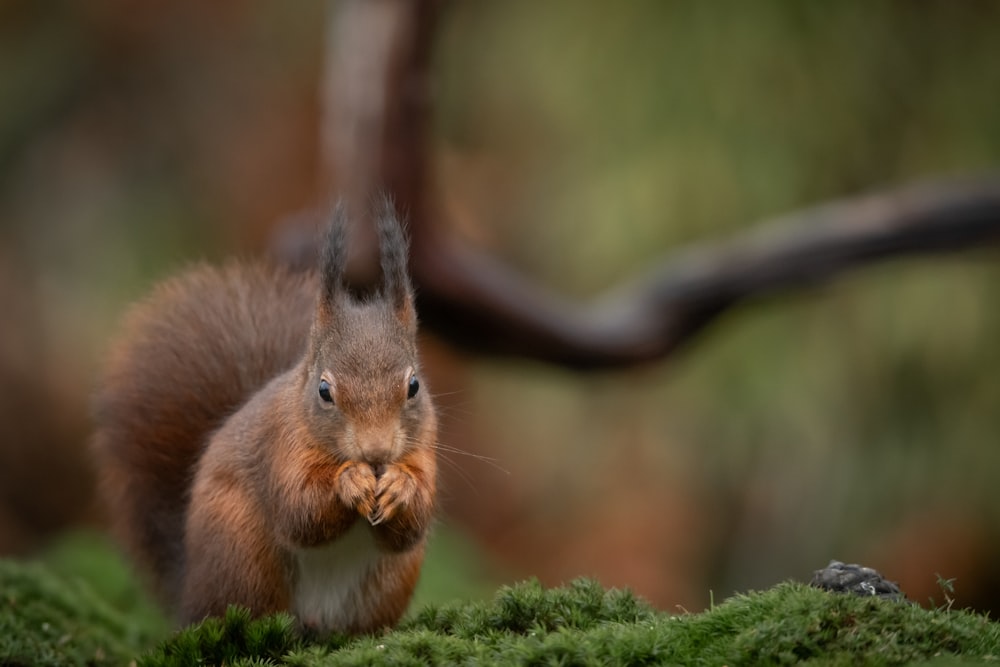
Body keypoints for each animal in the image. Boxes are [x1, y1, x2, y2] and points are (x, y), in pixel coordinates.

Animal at [92, 200, 436, 636]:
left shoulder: (427, 443)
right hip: (241, 556)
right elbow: (299, 511)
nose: (376, 453)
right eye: (324, 391)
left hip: (390, 581)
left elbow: (413, 524)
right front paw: (350, 482)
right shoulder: (280, 443)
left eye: (414, 386)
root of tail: (189, 589)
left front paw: (400, 488)